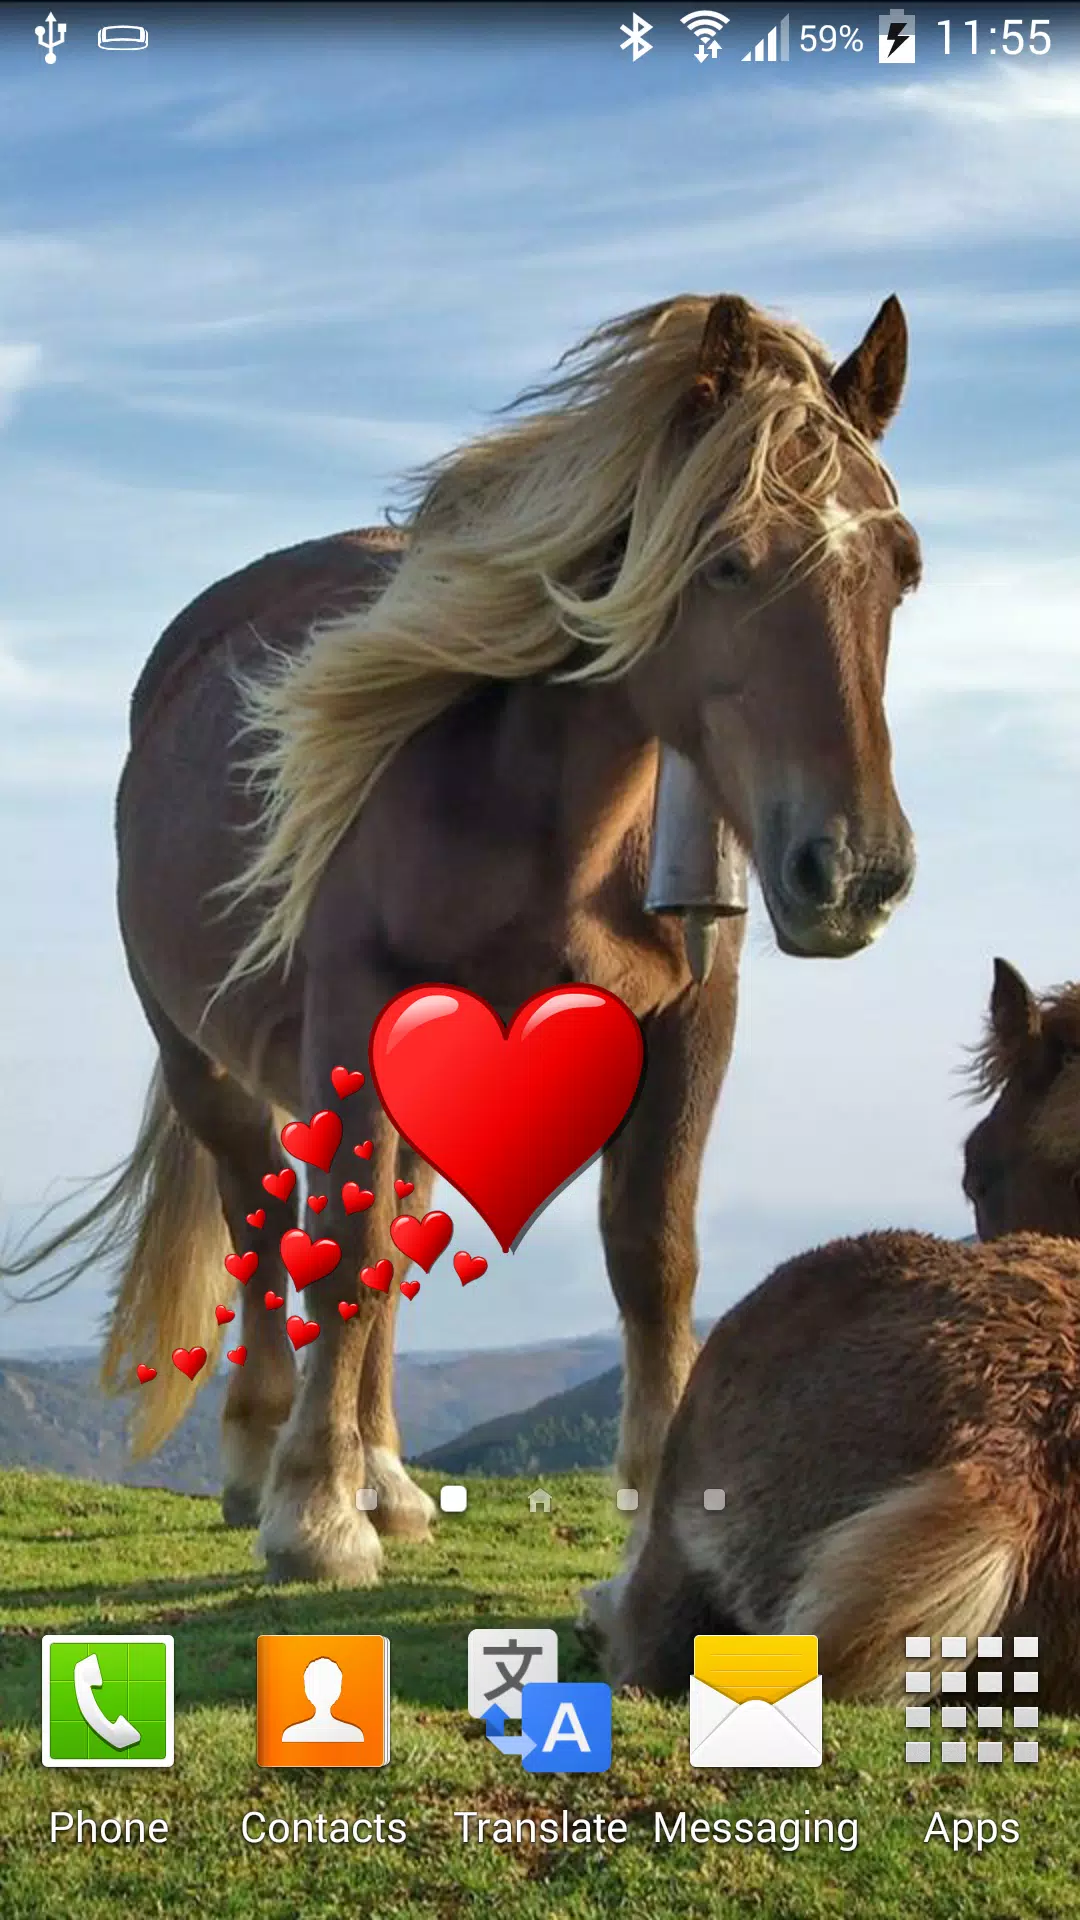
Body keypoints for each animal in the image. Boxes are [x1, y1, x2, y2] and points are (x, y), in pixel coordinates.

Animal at [3, 292, 920, 1586]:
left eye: (902, 571)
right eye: (727, 561)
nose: (853, 872)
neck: (542, 816)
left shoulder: (691, 1021)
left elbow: (651, 1251)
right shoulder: (354, 1013)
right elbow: (338, 1242)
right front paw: (312, 1516)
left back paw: (387, 1476)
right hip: (200, 1058)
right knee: (260, 1214)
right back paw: (261, 1459)